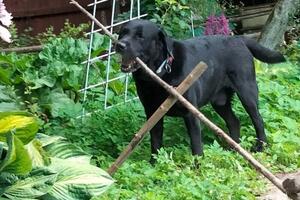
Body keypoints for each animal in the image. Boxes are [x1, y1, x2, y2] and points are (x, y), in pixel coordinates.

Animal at [115, 19, 286, 162]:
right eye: (123, 32)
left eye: (140, 36)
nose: (119, 45)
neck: (159, 75)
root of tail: (238, 38)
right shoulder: (153, 113)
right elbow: (156, 143)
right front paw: (154, 165)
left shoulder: (190, 113)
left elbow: (196, 145)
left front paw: (197, 167)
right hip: (220, 102)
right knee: (234, 121)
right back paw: (233, 150)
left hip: (247, 92)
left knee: (258, 120)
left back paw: (260, 147)